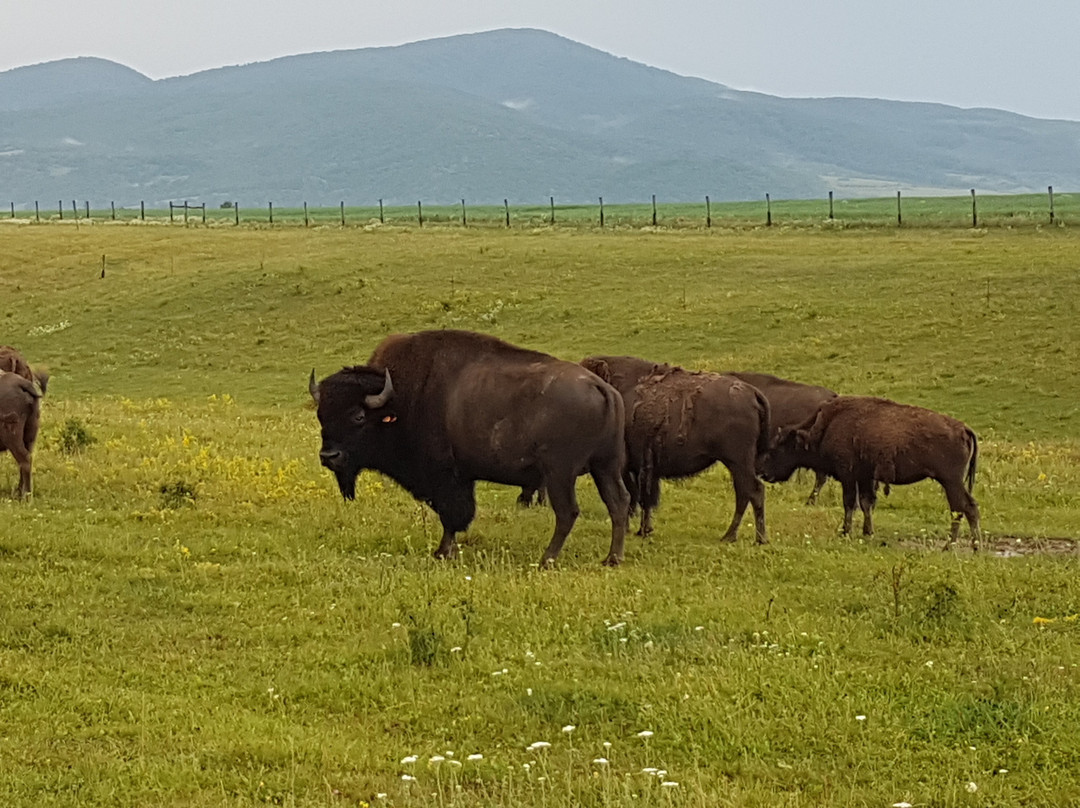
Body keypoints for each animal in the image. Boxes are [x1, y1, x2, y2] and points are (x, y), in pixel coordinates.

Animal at [308, 328, 630, 566]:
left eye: (358, 416)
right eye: (321, 415)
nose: (328, 456)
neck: (400, 400)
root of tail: (602, 388)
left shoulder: (447, 477)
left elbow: (452, 516)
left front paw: (442, 552)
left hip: (560, 473)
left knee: (568, 512)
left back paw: (546, 559)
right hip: (606, 467)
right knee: (618, 503)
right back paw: (611, 559)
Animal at [583, 354, 768, 542]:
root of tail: (752, 392)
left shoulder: (629, 467)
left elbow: (637, 496)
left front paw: (639, 530)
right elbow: (645, 498)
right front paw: (644, 530)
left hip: (737, 461)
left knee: (752, 490)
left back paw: (746, 537)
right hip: (736, 464)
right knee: (746, 492)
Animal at [760, 395, 980, 548]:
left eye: (777, 448)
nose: (764, 473)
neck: (826, 426)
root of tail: (964, 429)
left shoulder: (848, 475)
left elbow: (850, 502)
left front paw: (845, 532)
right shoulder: (864, 477)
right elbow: (866, 503)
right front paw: (867, 532)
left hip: (950, 481)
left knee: (961, 508)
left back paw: (951, 546)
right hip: (953, 482)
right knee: (968, 508)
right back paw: (974, 546)